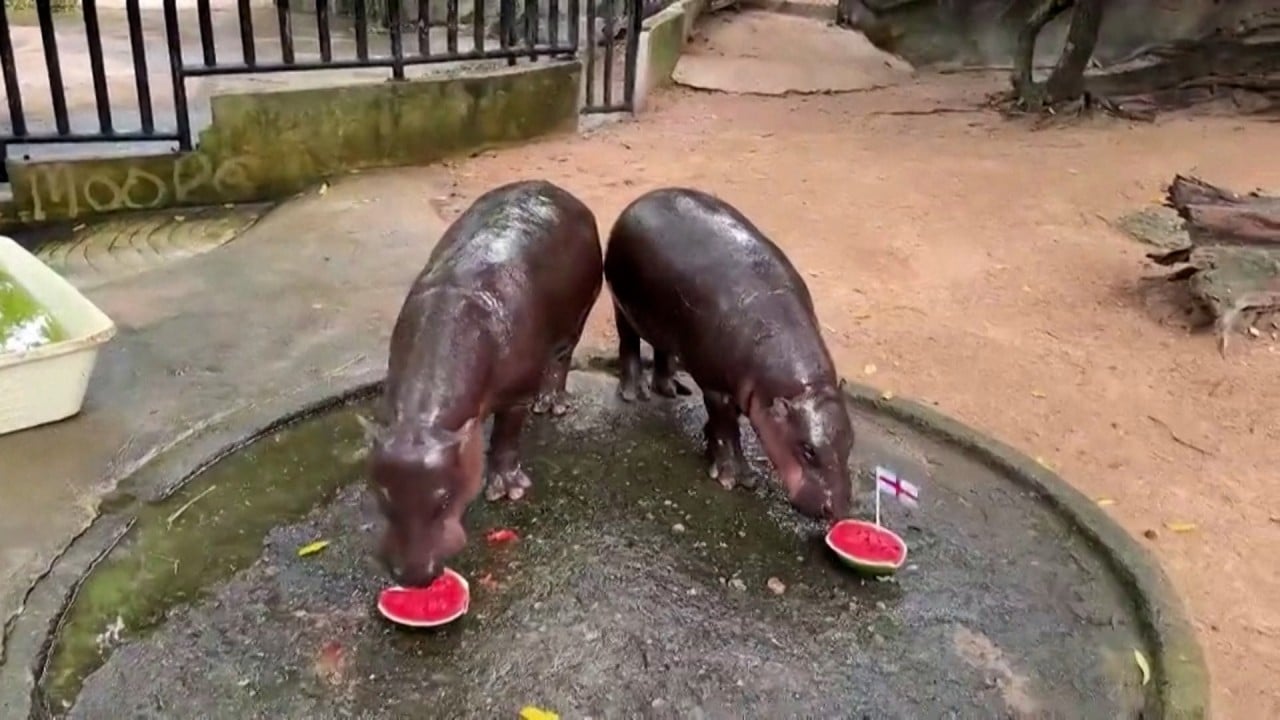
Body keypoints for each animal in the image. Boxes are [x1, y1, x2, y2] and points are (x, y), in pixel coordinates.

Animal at [359, 180, 603, 587]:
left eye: (444, 499)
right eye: (383, 494)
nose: (413, 576)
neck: (423, 423)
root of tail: (559, 191)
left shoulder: (516, 392)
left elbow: (506, 435)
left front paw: (508, 490)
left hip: (577, 316)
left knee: (561, 357)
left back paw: (550, 403)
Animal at [604, 187, 853, 520]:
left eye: (850, 444)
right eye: (807, 450)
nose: (838, 510)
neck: (804, 388)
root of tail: (642, 198)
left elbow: (727, 420)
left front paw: (708, 442)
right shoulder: (716, 385)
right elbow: (727, 426)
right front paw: (736, 477)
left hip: (665, 323)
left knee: (662, 350)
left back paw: (671, 389)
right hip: (622, 305)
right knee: (629, 343)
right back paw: (635, 393)